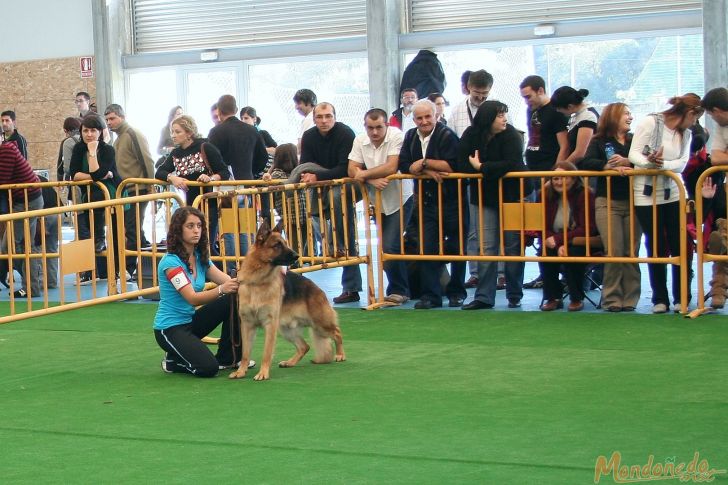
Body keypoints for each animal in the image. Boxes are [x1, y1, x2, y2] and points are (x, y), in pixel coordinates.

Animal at [230, 220, 346, 382]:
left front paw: (263, 373)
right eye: (277, 245)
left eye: (285, 243)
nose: (297, 256)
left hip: (320, 324)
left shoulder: (270, 326)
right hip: (287, 330)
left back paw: (340, 354)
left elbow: (266, 353)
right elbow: (245, 353)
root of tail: (316, 288)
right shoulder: (247, 325)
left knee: (337, 333)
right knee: (305, 346)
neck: (258, 281)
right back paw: (290, 362)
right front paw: (241, 371)